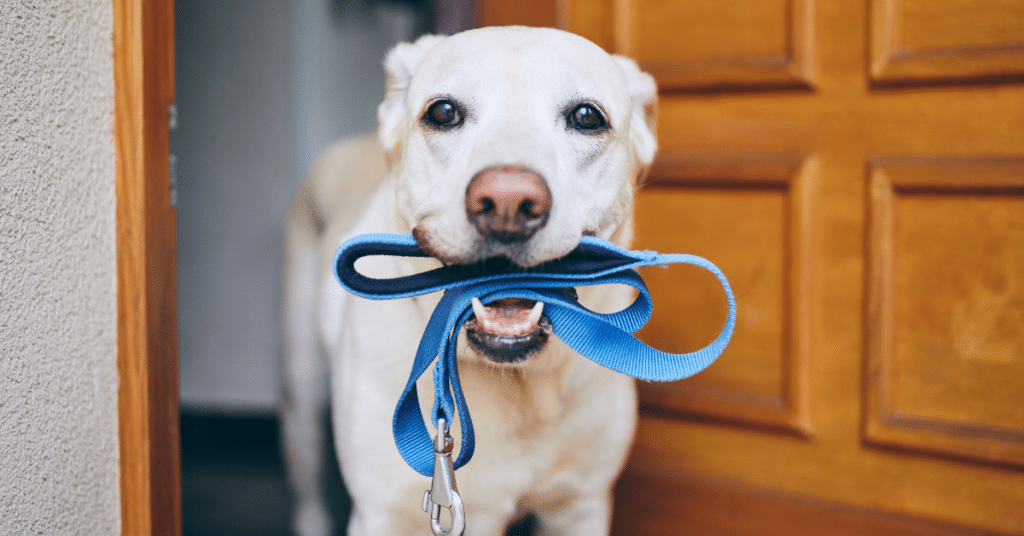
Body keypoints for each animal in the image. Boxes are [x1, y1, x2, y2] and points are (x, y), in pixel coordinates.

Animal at [282, 26, 655, 536]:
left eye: (586, 117)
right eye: (443, 112)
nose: (507, 202)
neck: (510, 381)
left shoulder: (580, 506)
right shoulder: (381, 513)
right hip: (301, 403)